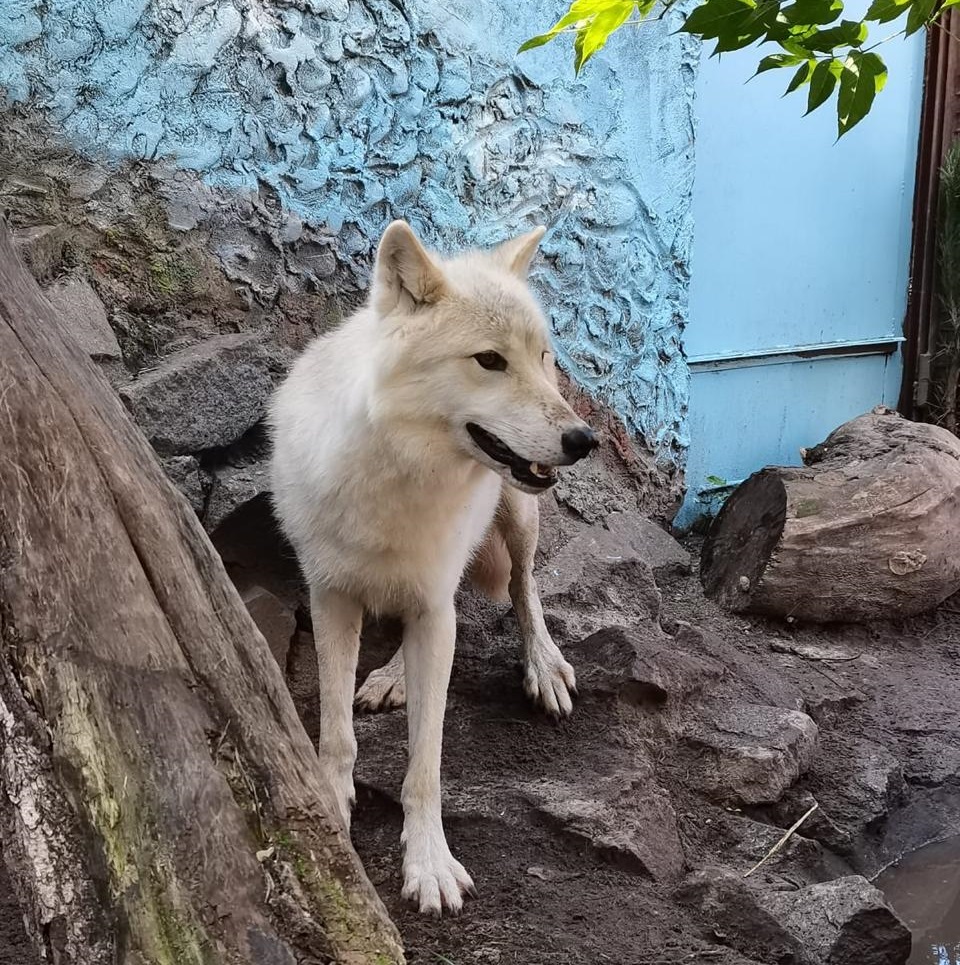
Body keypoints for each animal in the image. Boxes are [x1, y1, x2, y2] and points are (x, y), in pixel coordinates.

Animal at [270, 222, 596, 916]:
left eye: (540, 356)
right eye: (490, 361)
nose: (585, 440)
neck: (400, 474)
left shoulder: (434, 603)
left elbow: (426, 762)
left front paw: (429, 865)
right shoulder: (331, 597)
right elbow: (336, 733)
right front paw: (333, 804)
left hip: (518, 519)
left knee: (524, 589)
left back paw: (543, 666)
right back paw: (392, 676)